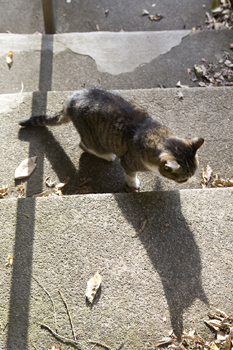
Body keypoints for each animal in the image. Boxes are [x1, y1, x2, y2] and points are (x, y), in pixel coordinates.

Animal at [19, 87, 204, 189]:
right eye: (184, 179)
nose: (190, 180)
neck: (153, 133)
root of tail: (70, 99)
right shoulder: (128, 162)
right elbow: (130, 175)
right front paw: (133, 184)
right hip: (93, 138)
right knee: (84, 145)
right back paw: (107, 155)